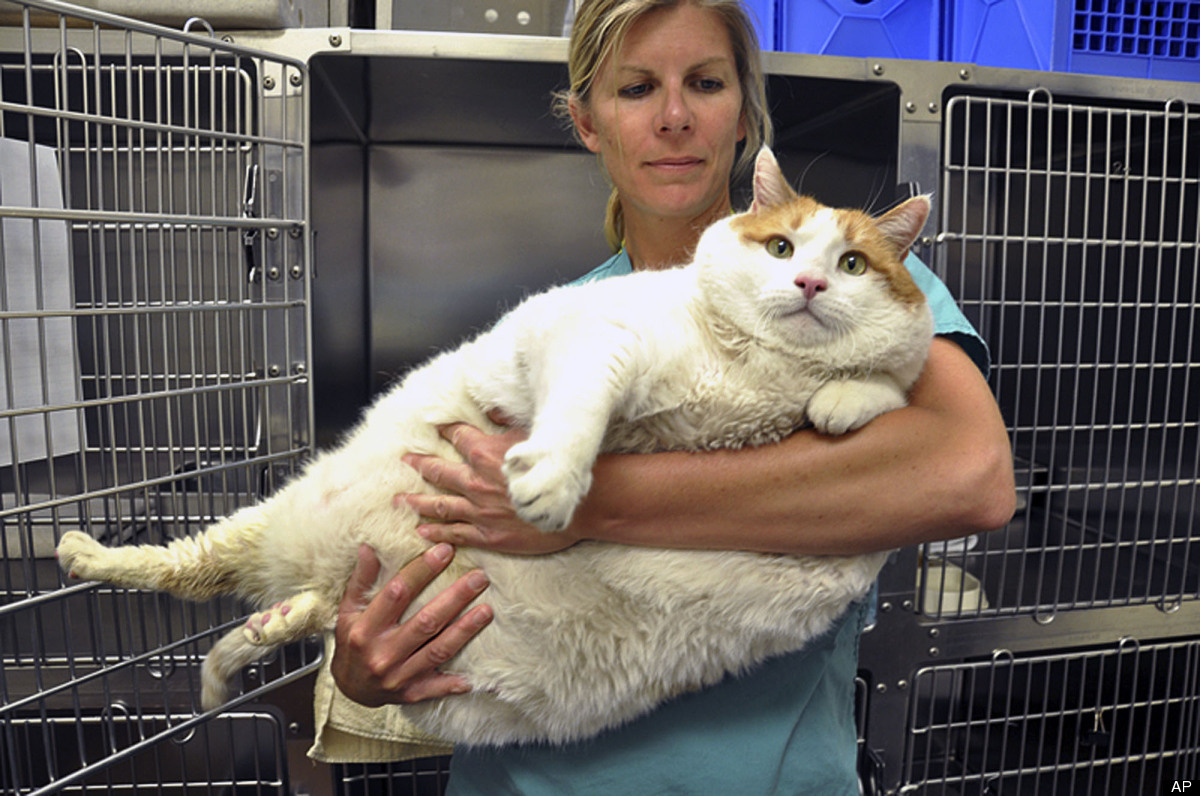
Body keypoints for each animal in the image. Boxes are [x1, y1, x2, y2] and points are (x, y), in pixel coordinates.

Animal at [54, 147, 936, 749]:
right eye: (782, 248)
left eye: (851, 263)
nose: (810, 287)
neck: (756, 368)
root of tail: (328, 574)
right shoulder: (589, 336)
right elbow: (584, 395)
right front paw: (554, 479)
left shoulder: (833, 552)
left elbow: (893, 381)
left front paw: (843, 400)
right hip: (267, 524)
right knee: (183, 565)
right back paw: (87, 555)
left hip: (322, 588)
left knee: (281, 611)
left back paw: (248, 645)